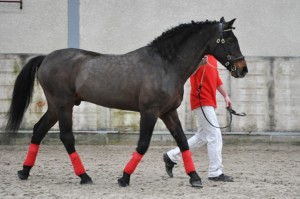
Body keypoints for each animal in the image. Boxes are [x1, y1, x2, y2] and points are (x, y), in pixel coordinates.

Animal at [5, 17, 247, 188]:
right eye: (230, 40)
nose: (243, 69)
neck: (166, 65)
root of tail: (46, 57)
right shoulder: (149, 112)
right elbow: (143, 144)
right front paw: (124, 178)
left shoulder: (168, 112)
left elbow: (182, 142)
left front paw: (194, 178)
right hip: (63, 106)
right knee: (66, 138)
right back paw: (84, 176)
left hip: (56, 107)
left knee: (38, 130)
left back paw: (24, 172)